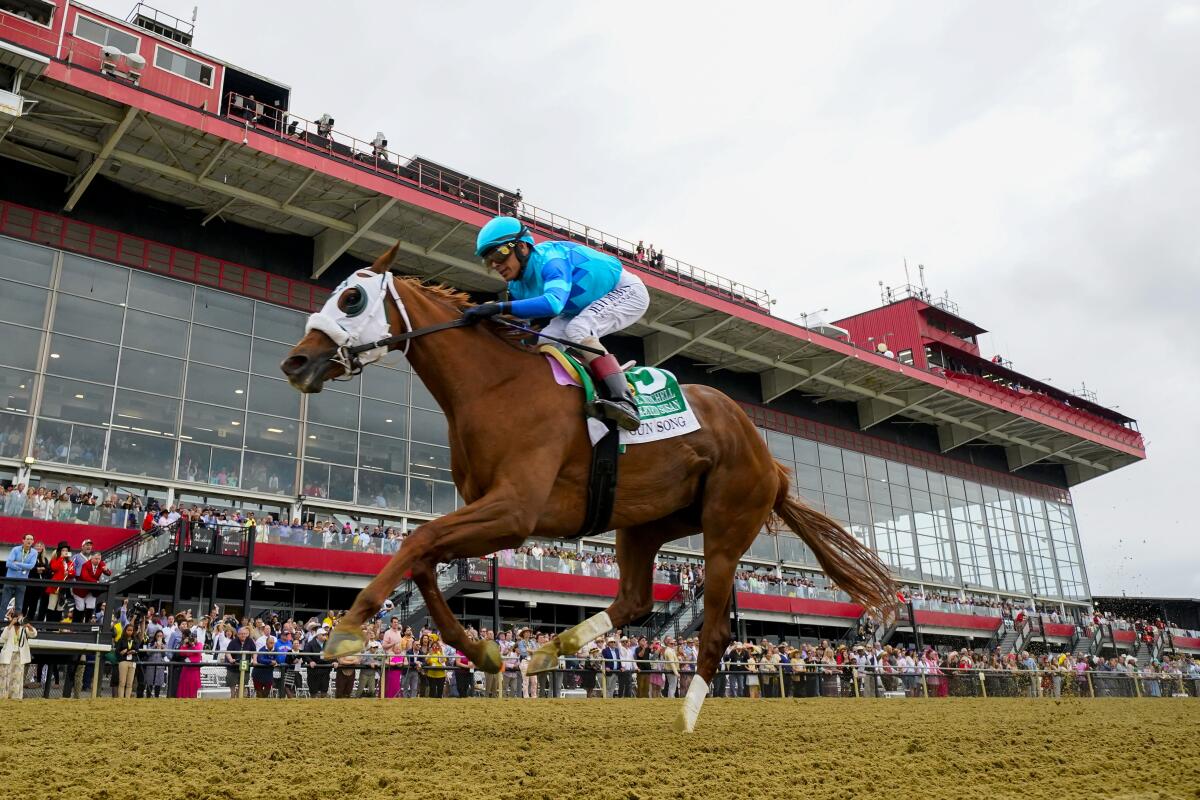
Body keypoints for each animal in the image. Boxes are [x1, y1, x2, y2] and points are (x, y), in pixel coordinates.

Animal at [280, 244, 897, 734]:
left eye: (352, 298)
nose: (295, 360)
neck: (494, 386)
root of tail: (770, 459)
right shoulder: (490, 512)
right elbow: (427, 561)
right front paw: (483, 650)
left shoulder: (515, 511)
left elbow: (415, 542)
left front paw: (346, 630)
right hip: (644, 523)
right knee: (636, 600)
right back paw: (551, 651)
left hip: (726, 526)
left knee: (716, 631)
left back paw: (687, 715)